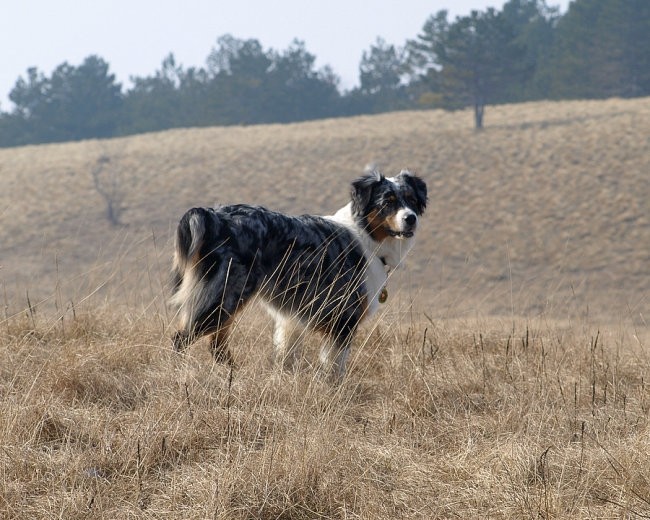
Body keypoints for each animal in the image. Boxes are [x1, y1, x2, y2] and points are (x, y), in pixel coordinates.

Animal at [170, 171, 428, 378]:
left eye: (412, 200)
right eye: (388, 202)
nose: (411, 218)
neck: (366, 235)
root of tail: (213, 216)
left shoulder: (291, 321)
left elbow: (287, 356)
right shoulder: (344, 318)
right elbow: (335, 366)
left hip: (227, 301)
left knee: (217, 345)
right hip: (225, 295)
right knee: (181, 338)